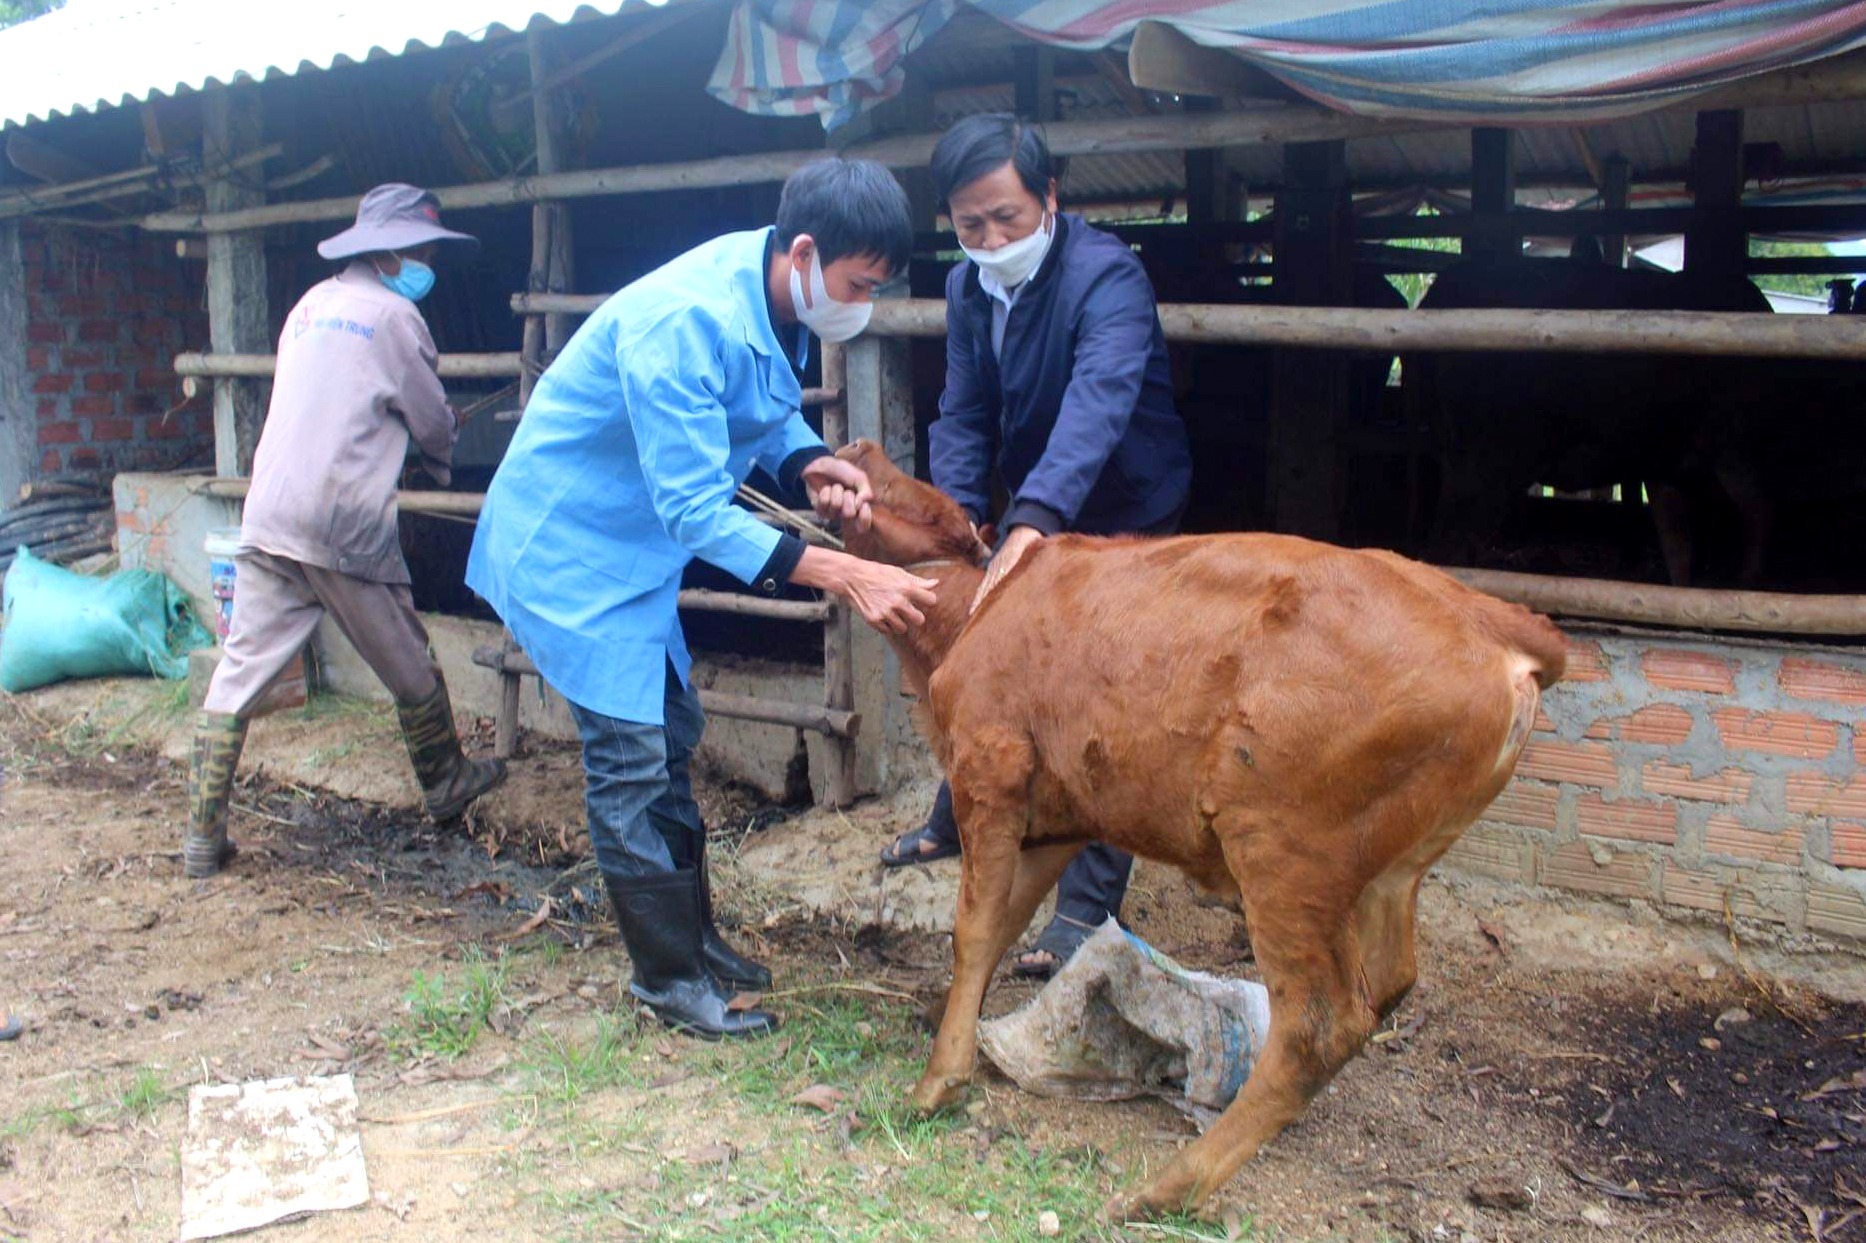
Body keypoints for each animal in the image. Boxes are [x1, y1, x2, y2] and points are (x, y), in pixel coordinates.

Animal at [839, 440, 1567, 1216]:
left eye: (907, 499)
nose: (857, 447)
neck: (974, 614)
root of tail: (1490, 617)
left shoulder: (989, 771)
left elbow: (973, 929)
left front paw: (937, 1082)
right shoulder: (1059, 817)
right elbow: (1003, 924)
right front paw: (953, 1016)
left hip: (1284, 852)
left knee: (1320, 1022)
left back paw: (1169, 1186)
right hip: (1391, 870)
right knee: (1389, 981)